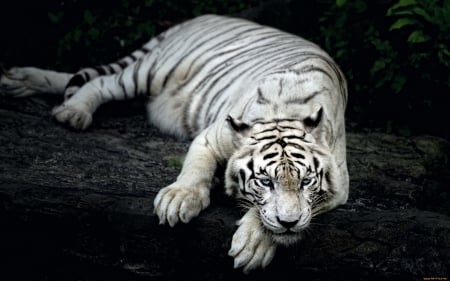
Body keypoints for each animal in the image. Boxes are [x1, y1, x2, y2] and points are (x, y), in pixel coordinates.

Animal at [0, 14, 350, 272]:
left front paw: (255, 243)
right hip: (152, 70)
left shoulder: (339, 184)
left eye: (306, 182)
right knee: (99, 82)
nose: (289, 223)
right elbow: (194, 171)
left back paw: (17, 81)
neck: (287, 111)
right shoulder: (210, 137)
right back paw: (71, 111)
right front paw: (178, 200)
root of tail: (201, 16)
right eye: (265, 181)